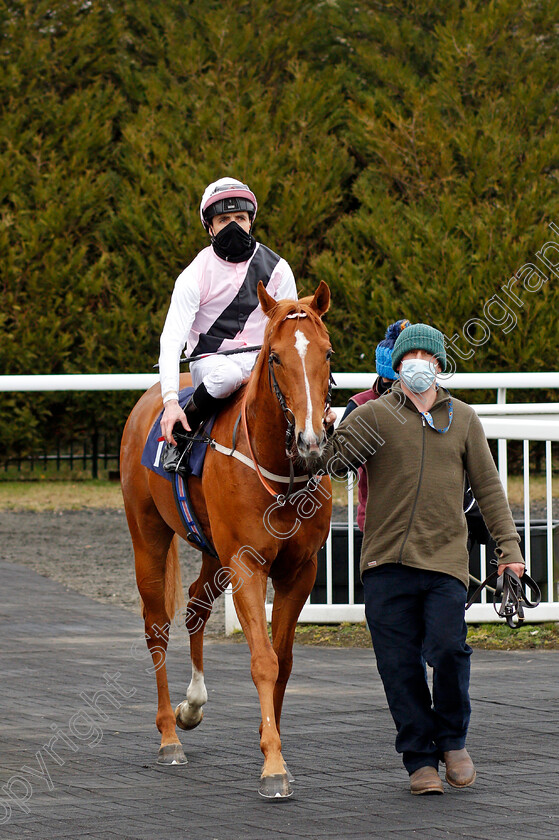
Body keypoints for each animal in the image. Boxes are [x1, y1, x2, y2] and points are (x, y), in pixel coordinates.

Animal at [120, 280, 332, 796]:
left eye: (328, 353)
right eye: (275, 357)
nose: (312, 441)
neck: (281, 473)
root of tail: (155, 396)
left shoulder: (300, 570)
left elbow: (284, 660)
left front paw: (271, 743)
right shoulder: (247, 565)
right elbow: (262, 660)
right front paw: (273, 765)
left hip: (214, 553)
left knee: (196, 604)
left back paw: (192, 705)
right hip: (148, 538)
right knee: (157, 626)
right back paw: (170, 736)